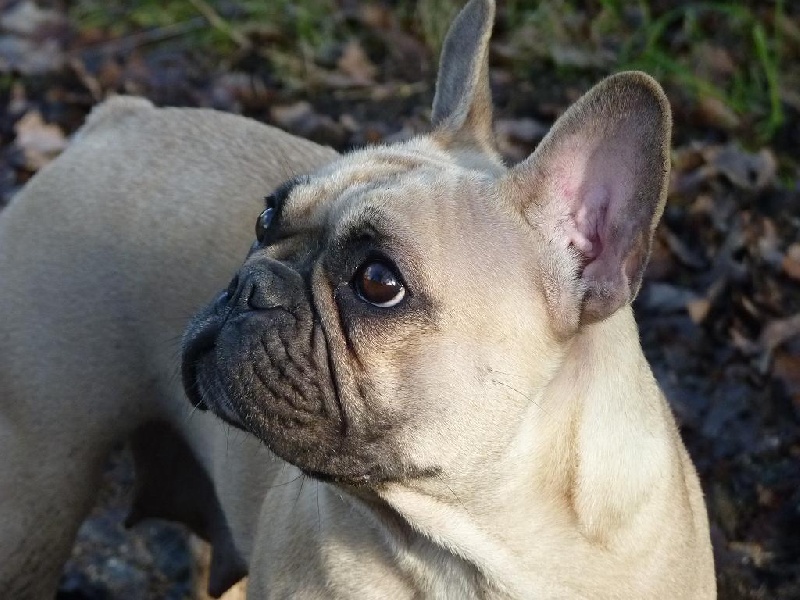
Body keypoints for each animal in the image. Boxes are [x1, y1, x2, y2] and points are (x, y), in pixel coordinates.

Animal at [0, 0, 712, 596]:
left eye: (378, 282)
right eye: (264, 217)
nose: (250, 285)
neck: (473, 552)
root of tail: (115, 121)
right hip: (36, 494)